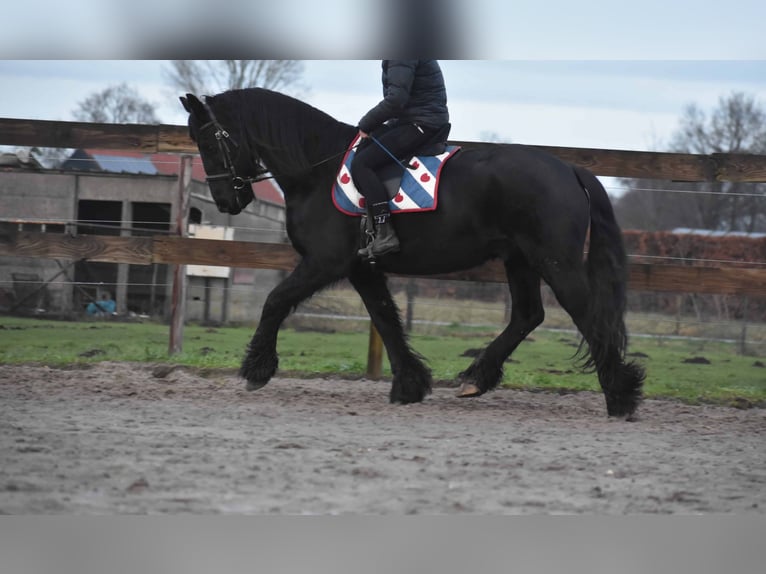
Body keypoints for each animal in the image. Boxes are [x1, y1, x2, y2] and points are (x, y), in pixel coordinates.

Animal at [180, 88, 645, 418]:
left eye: (210, 142)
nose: (224, 201)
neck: (317, 170)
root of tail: (570, 168)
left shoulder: (324, 262)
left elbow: (276, 301)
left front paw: (256, 369)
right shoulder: (361, 268)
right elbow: (385, 318)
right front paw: (410, 384)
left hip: (555, 261)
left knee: (587, 314)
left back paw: (621, 396)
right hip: (520, 259)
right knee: (528, 315)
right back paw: (477, 378)